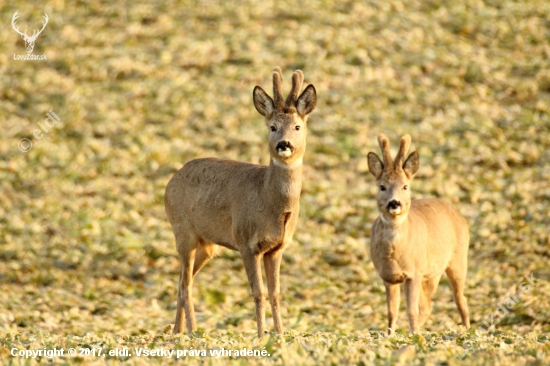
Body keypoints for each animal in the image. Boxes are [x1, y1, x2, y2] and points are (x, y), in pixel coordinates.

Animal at [165, 66, 320, 338]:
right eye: (272, 126)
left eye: (297, 126)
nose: (284, 144)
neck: (269, 201)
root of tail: (169, 184)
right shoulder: (246, 242)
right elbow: (258, 292)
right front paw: (260, 334)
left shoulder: (277, 248)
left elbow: (275, 293)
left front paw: (280, 333)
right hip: (183, 232)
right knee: (185, 283)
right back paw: (192, 331)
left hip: (207, 245)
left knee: (183, 279)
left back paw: (177, 331)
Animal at [368, 134, 472, 334]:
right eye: (382, 187)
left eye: (405, 186)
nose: (394, 203)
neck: (395, 253)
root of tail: (459, 215)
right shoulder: (388, 277)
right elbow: (392, 312)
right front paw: (390, 335)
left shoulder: (413, 273)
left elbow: (411, 310)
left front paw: (414, 335)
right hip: (430, 274)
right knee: (429, 306)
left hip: (458, 260)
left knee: (461, 300)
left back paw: (467, 331)